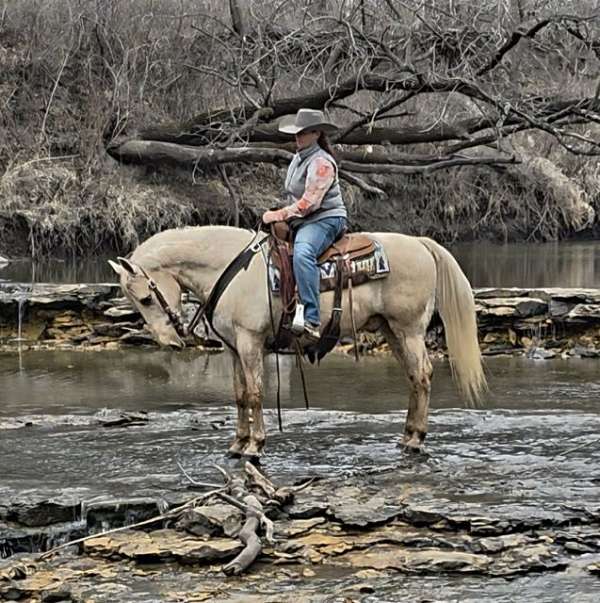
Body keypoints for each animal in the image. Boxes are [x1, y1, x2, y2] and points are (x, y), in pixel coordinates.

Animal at [109, 226, 482, 458]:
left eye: (145, 297)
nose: (170, 342)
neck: (231, 269)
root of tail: (420, 243)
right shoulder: (233, 348)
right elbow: (239, 394)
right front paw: (237, 444)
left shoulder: (250, 342)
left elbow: (255, 393)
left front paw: (255, 446)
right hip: (392, 330)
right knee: (414, 378)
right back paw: (406, 437)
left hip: (409, 328)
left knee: (423, 375)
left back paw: (416, 440)